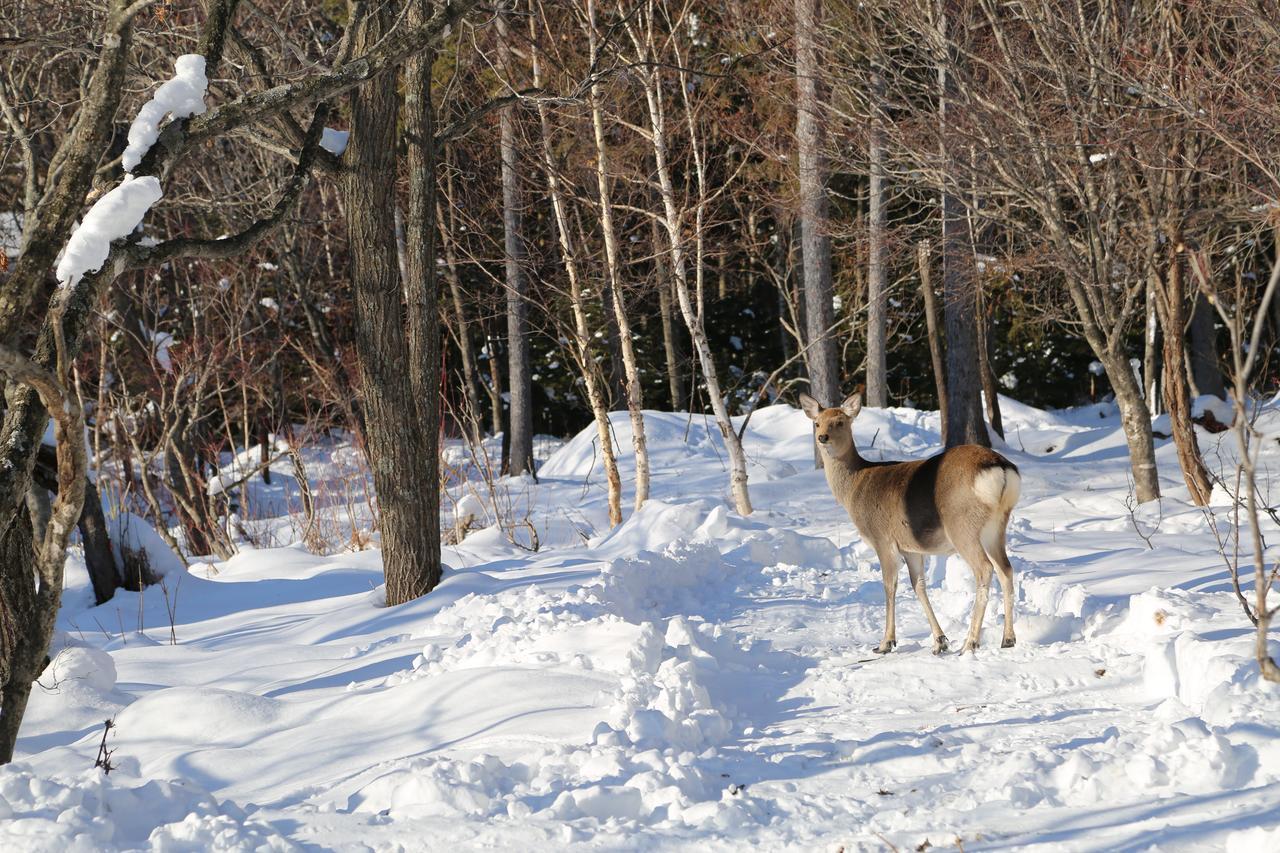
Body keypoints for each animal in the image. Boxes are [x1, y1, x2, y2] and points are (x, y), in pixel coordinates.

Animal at [798, 389, 1018, 653]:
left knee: (985, 569)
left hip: (962, 525)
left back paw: (970, 643)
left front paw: (885, 643)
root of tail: (1000, 468)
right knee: (1006, 569)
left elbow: (889, 585)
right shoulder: (911, 547)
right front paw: (939, 641)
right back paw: (1008, 639)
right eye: (816, 422)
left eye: (840, 422)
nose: (822, 437)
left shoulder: (882, 539)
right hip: (996, 526)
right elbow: (918, 585)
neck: (854, 488)